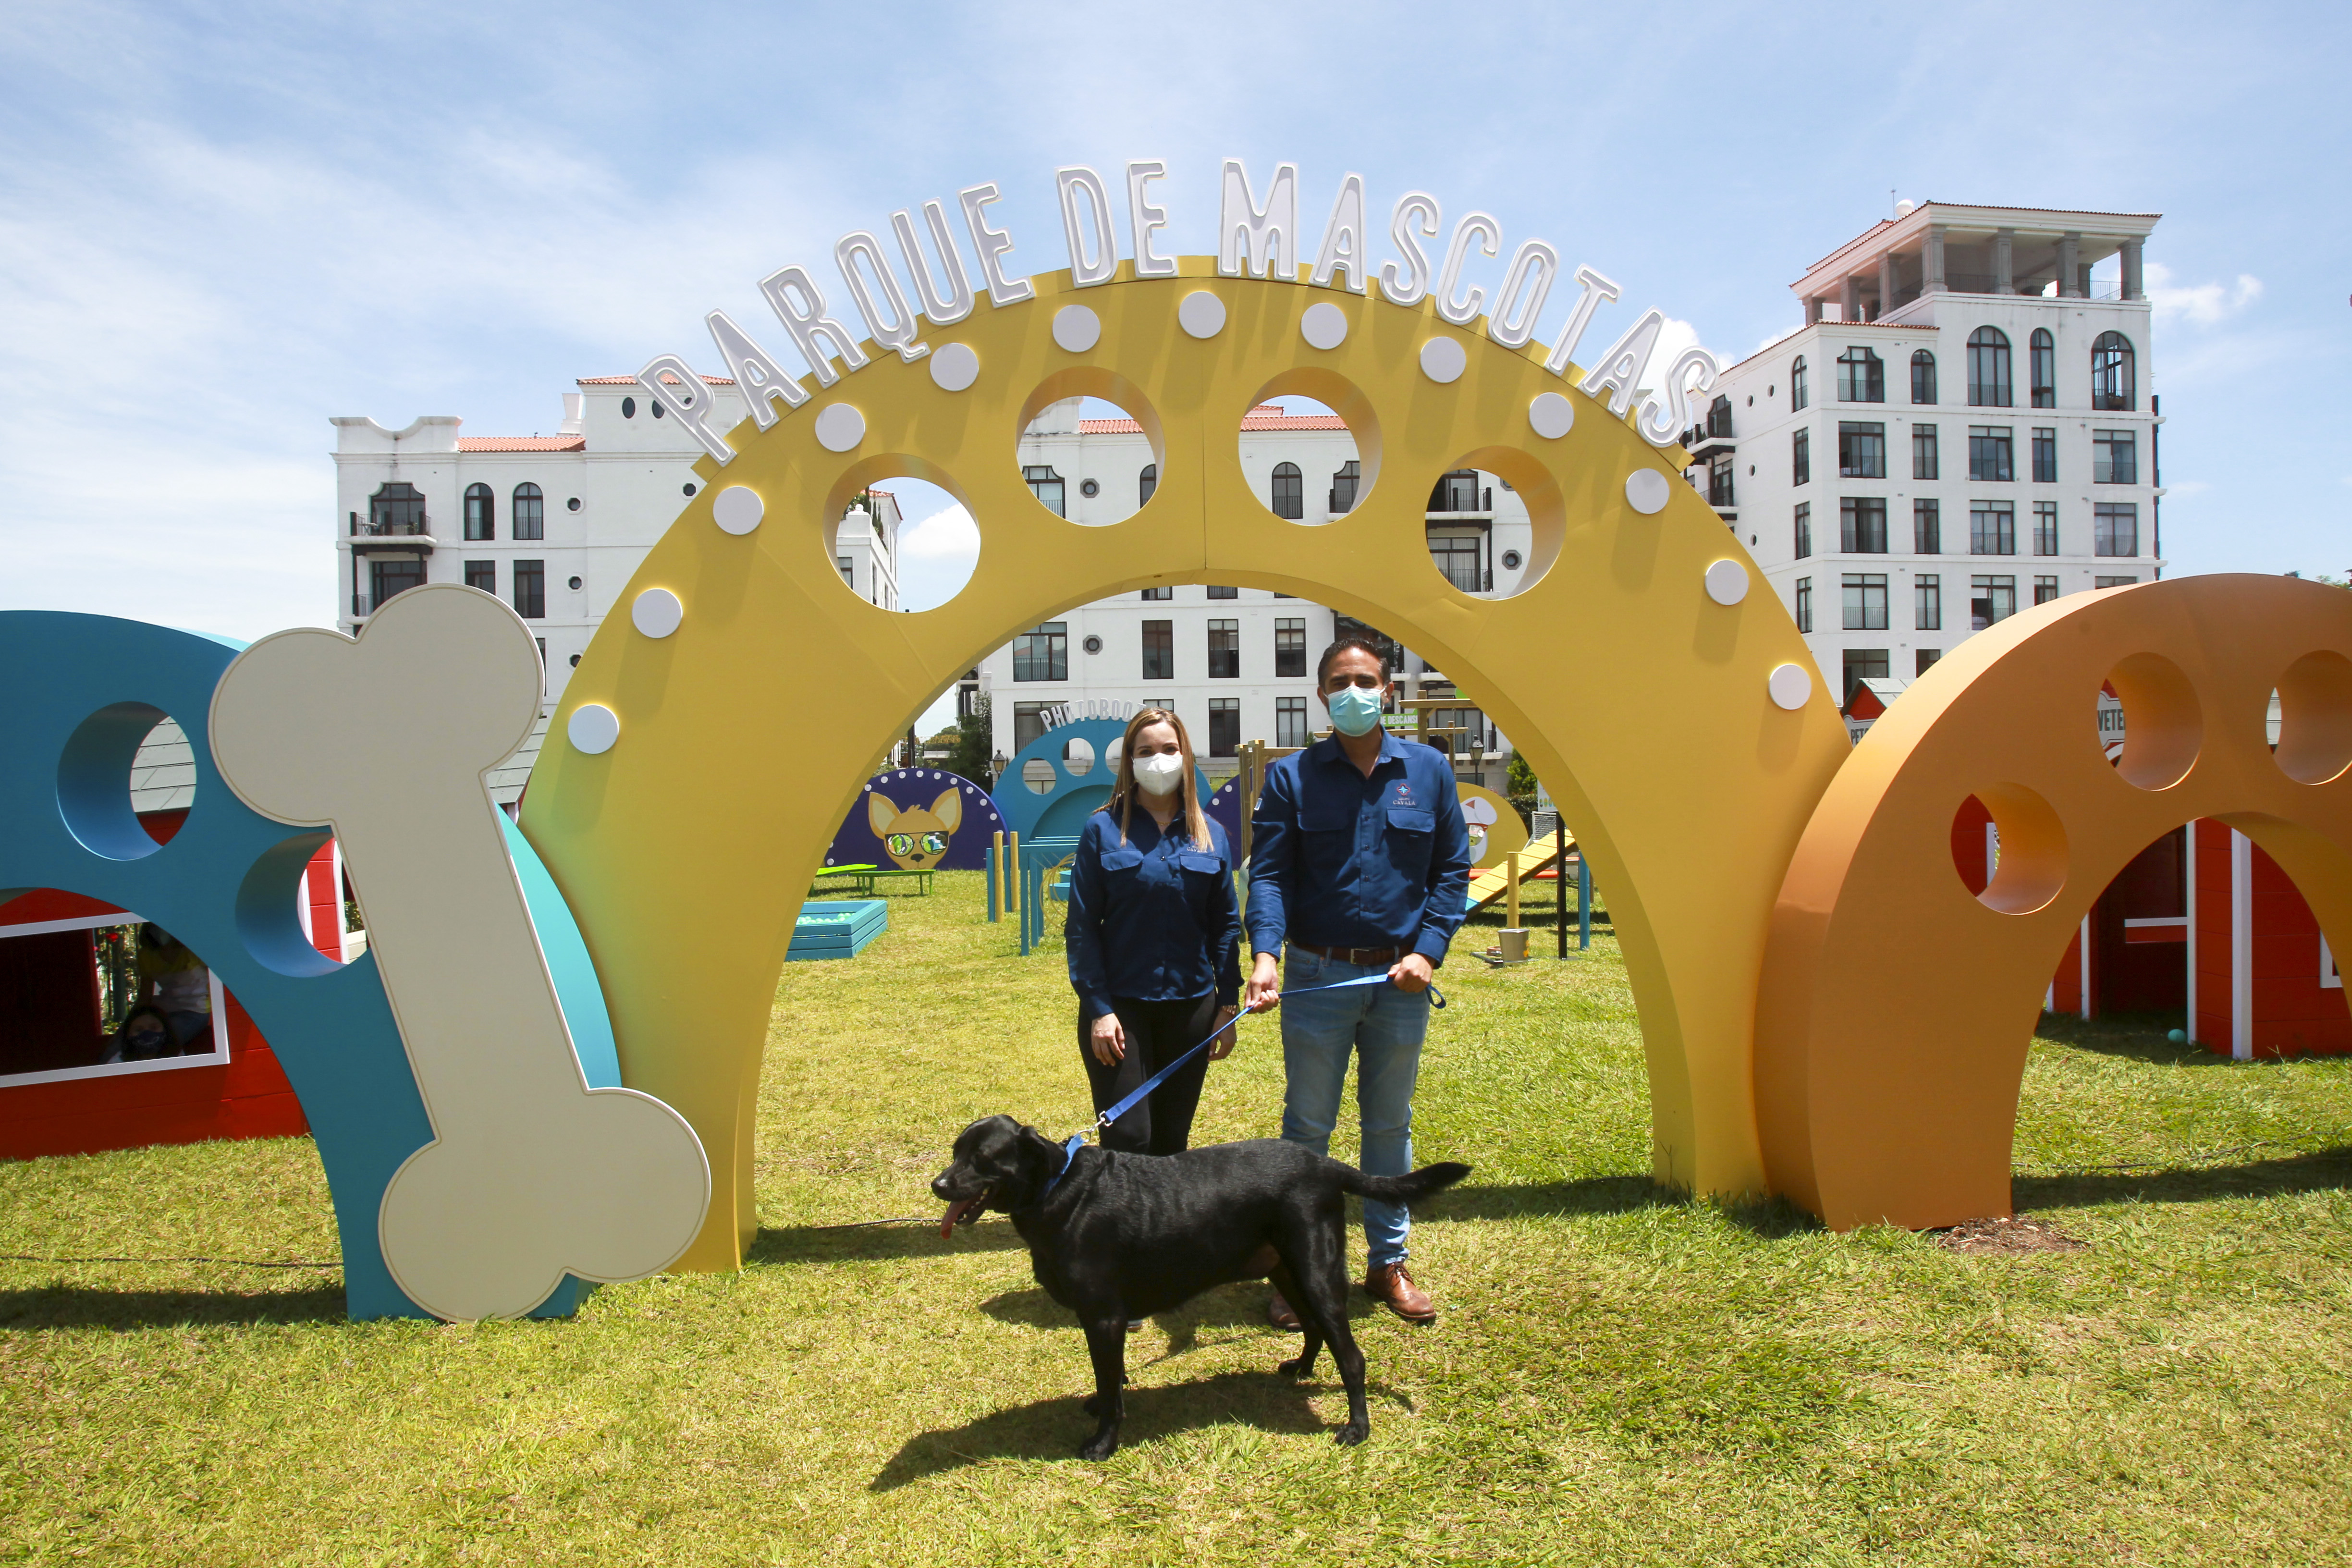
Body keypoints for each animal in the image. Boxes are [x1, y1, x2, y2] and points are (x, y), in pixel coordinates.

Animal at [927, 1114, 1458, 1458]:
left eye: (983, 1158)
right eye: (956, 1152)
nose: (938, 1185)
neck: (1058, 1190)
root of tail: (1324, 1164)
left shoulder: (1104, 1316)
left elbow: (1111, 1382)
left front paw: (1102, 1443)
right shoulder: (1102, 1321)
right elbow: (1109, 1378)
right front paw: (1100, 1405)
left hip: (1317, 1272)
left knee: (1351, 1355)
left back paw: (1356, 1429)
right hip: (1286, 1270)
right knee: (1311, 1327)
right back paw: (1300, 1370)